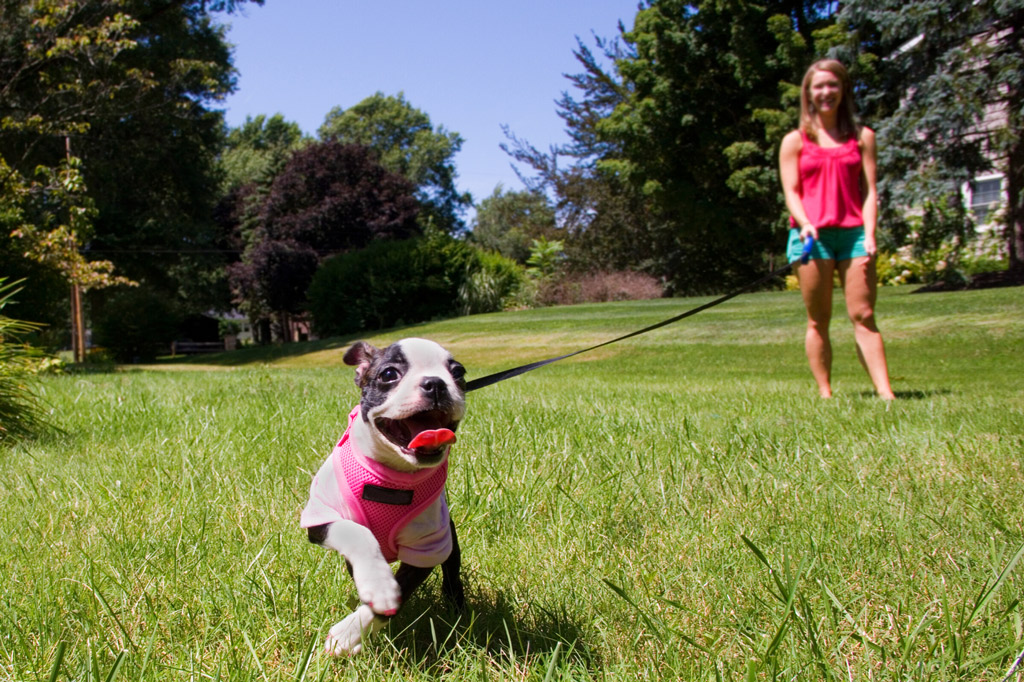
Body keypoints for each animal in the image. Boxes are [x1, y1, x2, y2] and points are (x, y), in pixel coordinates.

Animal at [299, 337, 468, 655]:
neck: (390, 476)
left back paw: (457, 607)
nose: (436, 384)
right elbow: (357, 533)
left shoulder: (428, 546)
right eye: (389, 374)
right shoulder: (321, 517)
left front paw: (348, 634)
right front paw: (377, 584)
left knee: (452, 571)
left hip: (449, 538)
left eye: (458, 372)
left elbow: (399, 592)